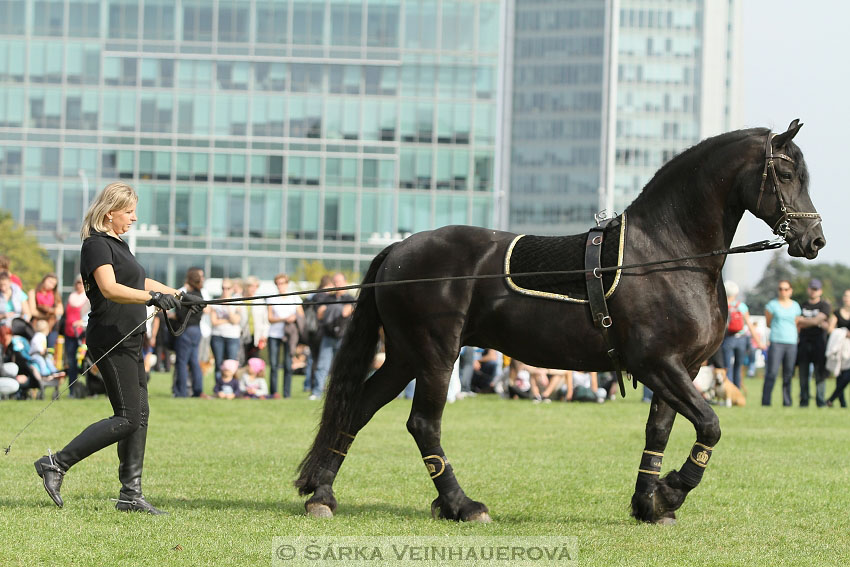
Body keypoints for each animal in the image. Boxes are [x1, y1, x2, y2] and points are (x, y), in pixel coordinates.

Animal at [296, 122, 820, 524]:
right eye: (786, 173)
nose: (815, 240)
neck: (670, 254)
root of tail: (400, 249)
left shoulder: (682, 369)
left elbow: (658, 431)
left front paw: (648, 503)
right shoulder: (657, 364)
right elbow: (710, 425)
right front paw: (671, 492)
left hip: (405, 355)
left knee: (358, 408)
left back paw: (323, 494)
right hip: (435, 354)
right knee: (423, 423)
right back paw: (462, 505)